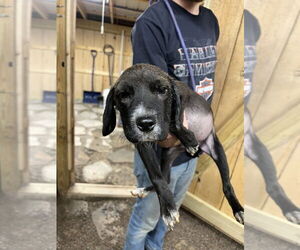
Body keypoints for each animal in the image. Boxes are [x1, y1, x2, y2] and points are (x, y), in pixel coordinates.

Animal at [102, 63, 244, 229]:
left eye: (163, 90)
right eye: (123, 95)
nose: (145, 124)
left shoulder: (183, 100)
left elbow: (174, 121)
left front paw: (188, 138)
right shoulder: (142, 144)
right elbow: (157, 177)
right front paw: (168, 208)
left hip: (217, 150)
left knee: (227, 184)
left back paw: (238, 209)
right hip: (167, 154)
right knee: (166, 177)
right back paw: (145, 190)